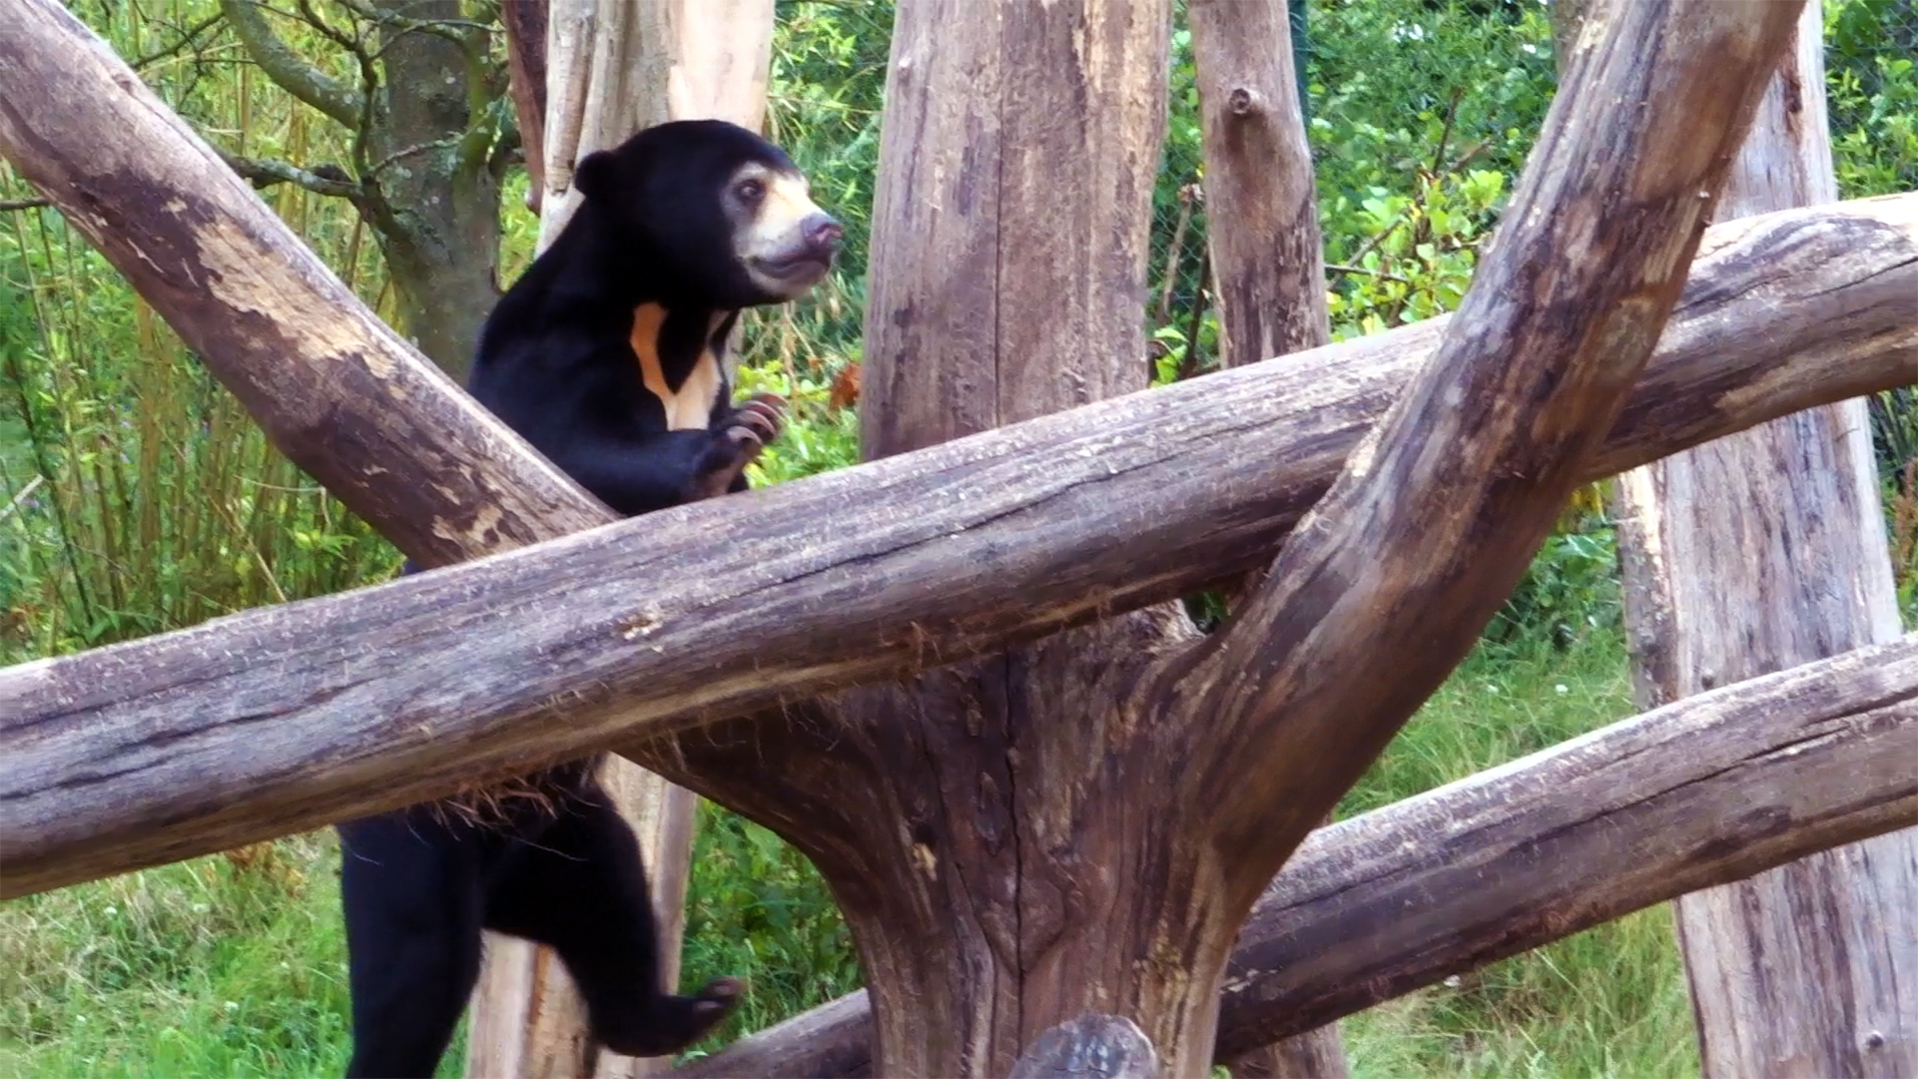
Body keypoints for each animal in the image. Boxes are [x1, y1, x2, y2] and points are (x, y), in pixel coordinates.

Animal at [334, 119, 842, 1079]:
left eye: (797, 183)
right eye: (749, 189)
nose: (825, 231)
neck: (674, 324)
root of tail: (501, 879)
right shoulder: (551, 355)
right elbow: (573, 448)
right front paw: (732, 441)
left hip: (562, 831)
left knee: (611, 901)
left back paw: (685, 1010)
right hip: (411, 836)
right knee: (416, 968)